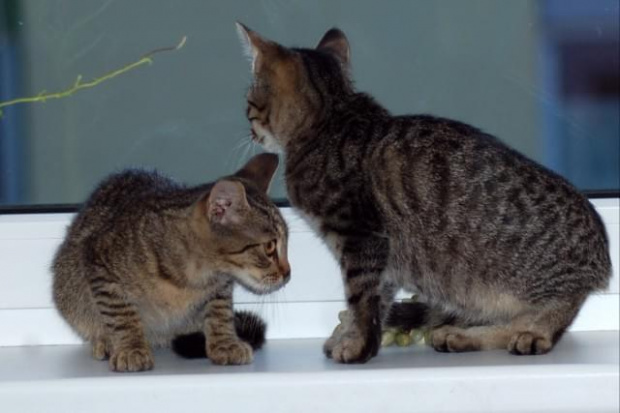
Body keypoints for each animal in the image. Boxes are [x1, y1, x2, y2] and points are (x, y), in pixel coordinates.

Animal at [52, 153, 290, 372]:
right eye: (270, 247)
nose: (288, 273)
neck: (196, 275)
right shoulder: (99, 262)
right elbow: (121, 313)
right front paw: (131, 347)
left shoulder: (221, 285)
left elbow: (220, 312)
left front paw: (225, 343)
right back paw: (105, 341)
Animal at [236, 24, 612, 362]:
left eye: (249, 104)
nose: (249, 129)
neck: (332, 118)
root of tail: (602, 258)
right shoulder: (383, 254)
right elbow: (376, 300)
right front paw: (351, 337)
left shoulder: (361, 238)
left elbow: (362, 301)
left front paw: (358, 346)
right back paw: (461, 335)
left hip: (527, 286)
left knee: (551, 317)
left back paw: (526, 334)